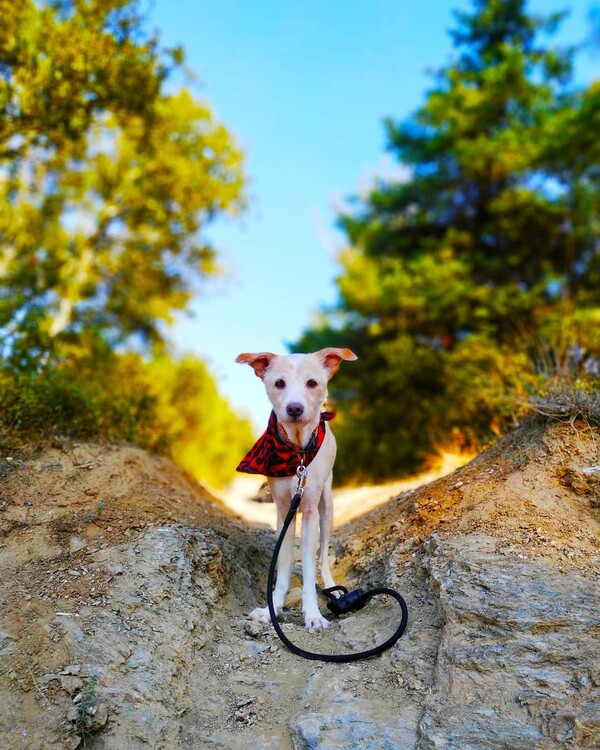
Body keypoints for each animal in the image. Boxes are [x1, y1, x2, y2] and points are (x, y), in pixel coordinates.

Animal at [234, 350, 356, 632]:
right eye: (279, 383)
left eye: (312, 383)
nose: (294, 408)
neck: (297, 452)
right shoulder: (282, 511)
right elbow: (283, 564)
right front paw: (272, 608)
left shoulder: (310, 511)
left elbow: (310, 568)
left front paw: (312, 614)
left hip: (327, 506)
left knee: (322, 558)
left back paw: (332, 589)